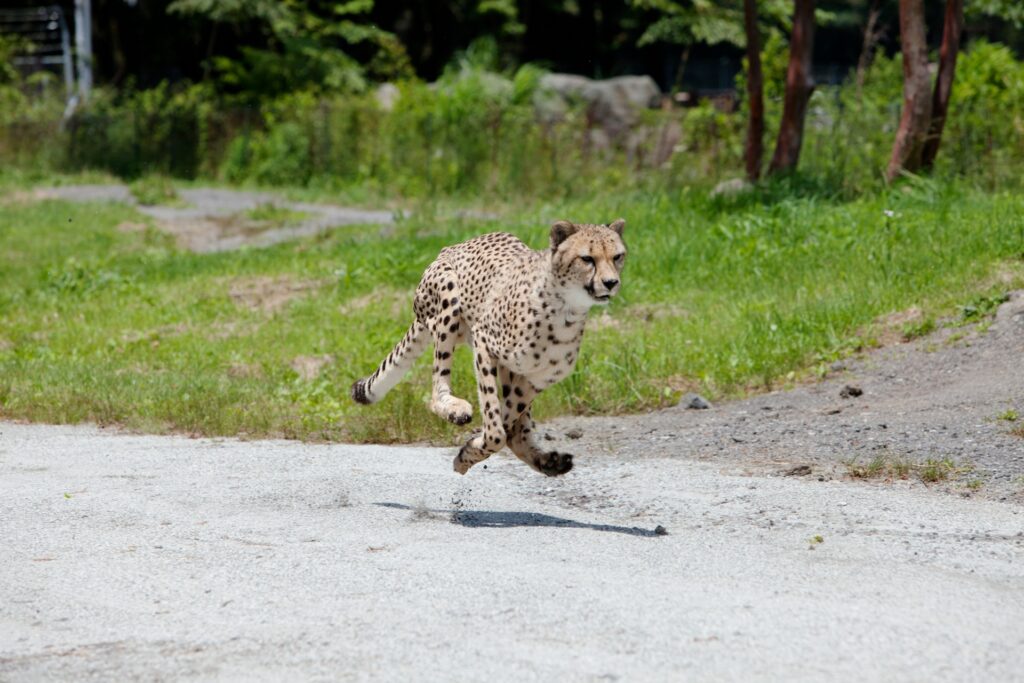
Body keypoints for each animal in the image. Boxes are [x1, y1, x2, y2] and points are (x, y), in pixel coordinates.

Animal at [350, 219, 622, 475]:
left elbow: (506, 422)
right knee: (437, 388)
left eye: (617, 256)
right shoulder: (483, 341)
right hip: (447, 299)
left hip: (511, 369)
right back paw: (454, 408)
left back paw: (548, 462)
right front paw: (470, 451)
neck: (566, 309)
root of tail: (452, 246)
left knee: (519, 427)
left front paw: (470, 450)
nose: (611, 282)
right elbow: (495, 424)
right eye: (587, 258)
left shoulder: (534, 379)